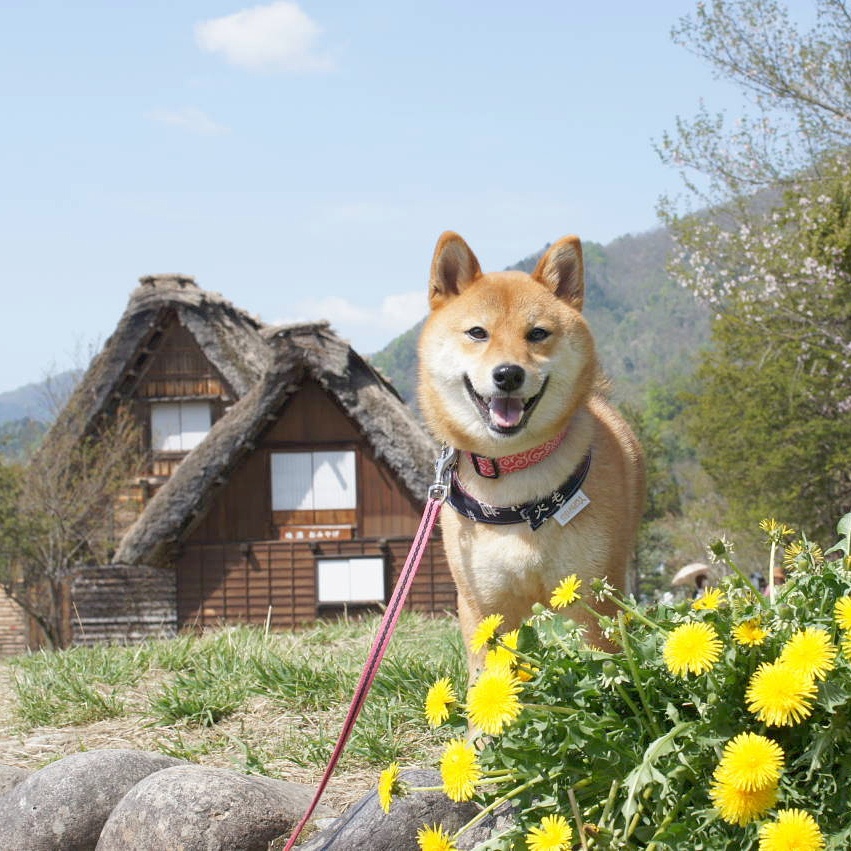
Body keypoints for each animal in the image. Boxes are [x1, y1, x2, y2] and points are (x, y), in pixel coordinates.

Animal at [420, 233, 644, 672]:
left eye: (537, 334)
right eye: (477, 332)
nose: (508, 374)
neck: (513, 477)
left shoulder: (590, 600)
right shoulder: (484, 606)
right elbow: (488, 679)